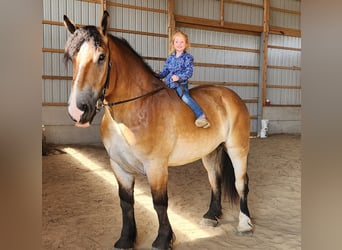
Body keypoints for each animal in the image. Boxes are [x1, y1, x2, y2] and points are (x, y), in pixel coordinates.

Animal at [62, 10, 252, 249]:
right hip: (210, 152)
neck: (135, 110)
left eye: (102, 57)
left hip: (237, 148)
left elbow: (160, 203)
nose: (78, 110)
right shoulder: (119, 166)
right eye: (72, 58)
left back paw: (245, 224)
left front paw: (163, 239)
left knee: (241, 183)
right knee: (214, 180)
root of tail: (231, 96)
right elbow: (126, 203)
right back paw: (211, 215)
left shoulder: (156, 166)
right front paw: (126, 239)